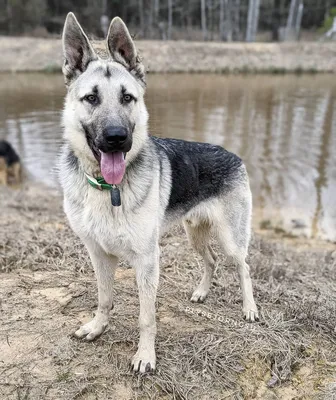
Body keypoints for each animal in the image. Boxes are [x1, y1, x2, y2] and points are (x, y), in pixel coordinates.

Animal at [58, 13, 258, 376]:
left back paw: (249, 308)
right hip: (195, 234)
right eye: (91, 98)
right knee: (210, 261)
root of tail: (232, 154)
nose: (116, 138)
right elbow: (104, 298)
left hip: (230, 238)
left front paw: (145, 355)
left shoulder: (147, 261)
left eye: (127, 98)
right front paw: (98, 327)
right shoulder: (98, 254)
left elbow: (146, 317)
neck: (109, 188)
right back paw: (202, 292)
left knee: (243, 267)